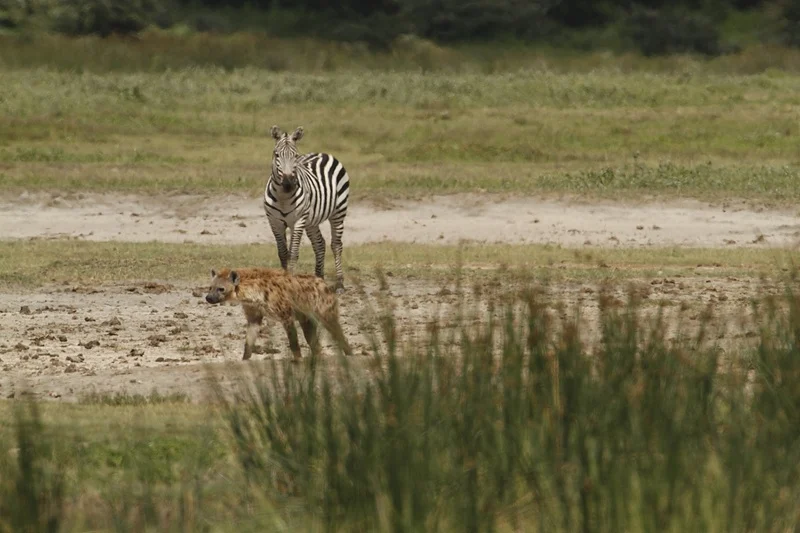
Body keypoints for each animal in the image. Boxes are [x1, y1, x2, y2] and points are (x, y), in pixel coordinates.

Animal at [263, 125, 350, 293]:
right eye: (277, 155)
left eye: (295, 156)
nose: (288, 184)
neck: (283, 198)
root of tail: (323, 153)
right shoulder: (274, 222)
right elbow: (283, 253)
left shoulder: (297, 221)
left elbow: (293, 253)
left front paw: (290, 282)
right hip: (311, 221)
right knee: (320, 244)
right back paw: (319, 279)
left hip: (338, 211)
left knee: (336, 245)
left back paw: (340, 284)